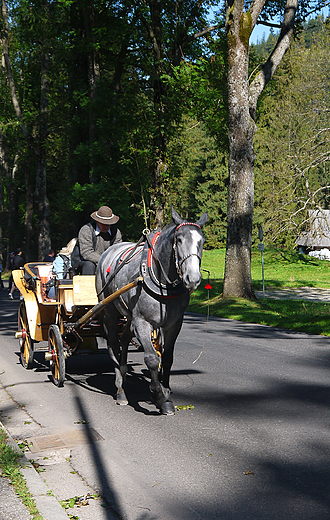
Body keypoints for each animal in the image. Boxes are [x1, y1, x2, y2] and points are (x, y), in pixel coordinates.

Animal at [95, 207, 208, 414]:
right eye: (179, 240)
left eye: (201, 241)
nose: (193, 278)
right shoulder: (142, 322)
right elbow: (152, 359)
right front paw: (158, 395)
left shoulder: (173, 324)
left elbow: (168, 357)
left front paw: (167, 393)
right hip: (108, 309)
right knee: (113, 344)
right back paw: (120, 389)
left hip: (129, 315)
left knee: (124, 338)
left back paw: (123, 373)